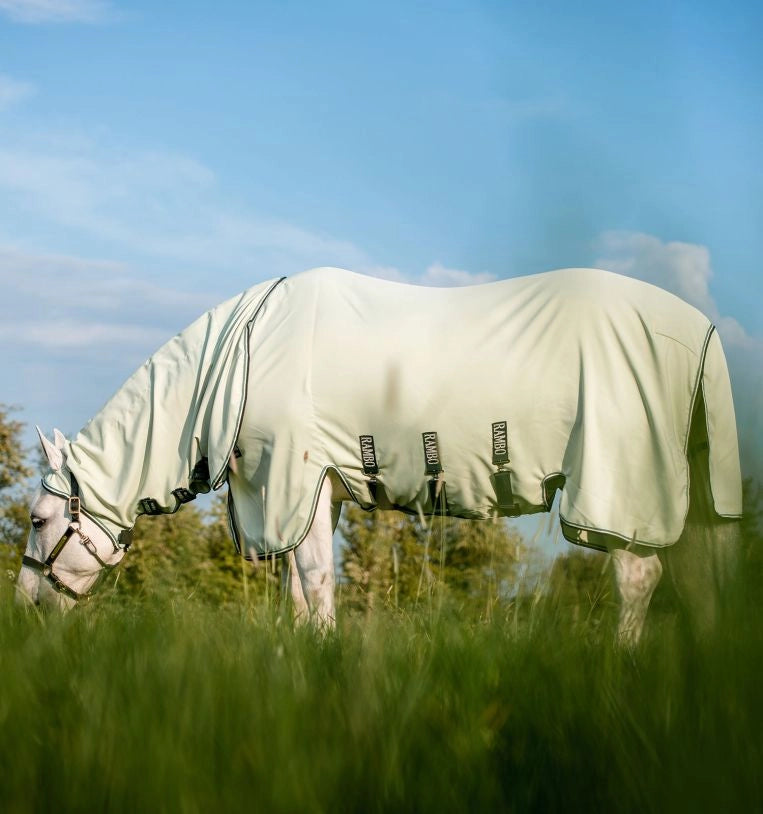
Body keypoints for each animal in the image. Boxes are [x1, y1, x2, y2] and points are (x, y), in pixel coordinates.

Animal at [19, 268, 748, 644]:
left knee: (639, 579)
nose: (26, 604)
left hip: (625, 488)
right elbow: (299, 587)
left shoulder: (294, 481)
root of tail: (699, 329)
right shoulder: (318, 493)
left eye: (36, 520)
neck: (244, 354)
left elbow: (314, 583)